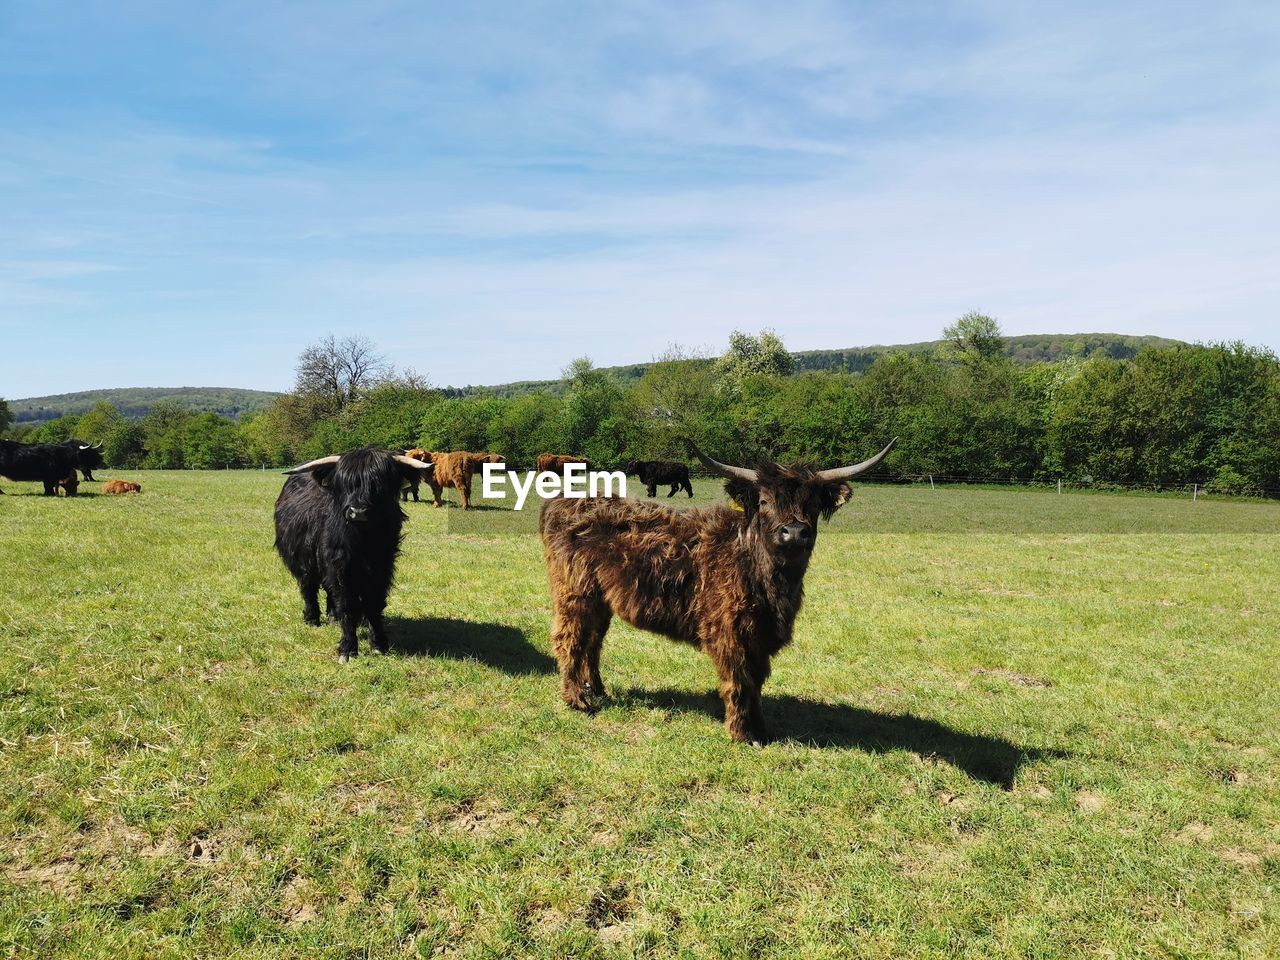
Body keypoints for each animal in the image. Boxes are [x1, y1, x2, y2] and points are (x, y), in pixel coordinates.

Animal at [275, 450, 435, 660]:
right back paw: (312, 619)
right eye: (345, 483)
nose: (358, 512)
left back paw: (333, 617)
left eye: (379, 483)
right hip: (303, 561)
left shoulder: (382, 568)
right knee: (308, 588)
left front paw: (379, 644)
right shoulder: (340, 568)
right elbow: (347, 606)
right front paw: (348, 649)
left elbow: (374, 604)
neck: (363, 543)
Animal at [535, 440, 896, 747]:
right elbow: (739, 681)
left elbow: (757, 682)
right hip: (575, 591)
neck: (772, 581)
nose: (794, 532)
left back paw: (596, 689)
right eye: (764, 502)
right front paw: (741, 733)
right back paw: (577, 699)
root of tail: (561, 501)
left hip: (600, 599)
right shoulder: (730, 631)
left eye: (813, 503)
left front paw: (761, 729)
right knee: (570, 639)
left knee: (592, 641)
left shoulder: (762, 635)